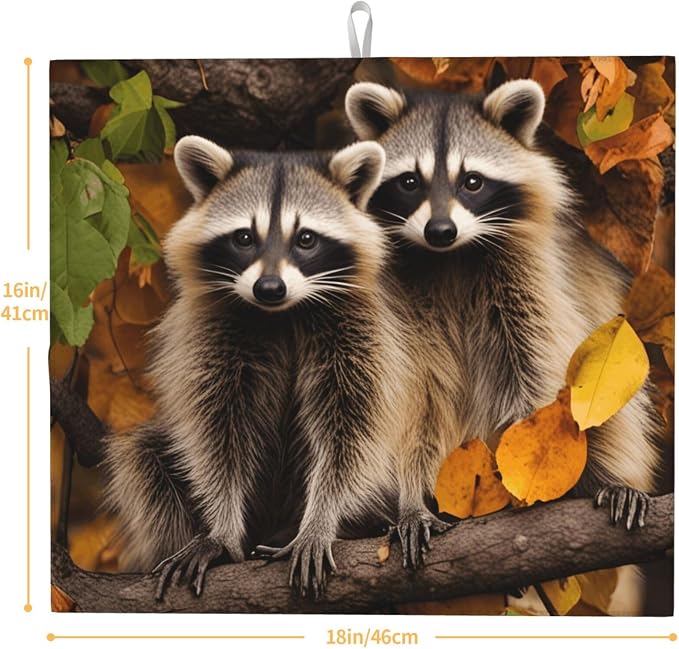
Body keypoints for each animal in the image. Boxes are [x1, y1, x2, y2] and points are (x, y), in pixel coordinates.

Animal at [103, 136, 422, 598]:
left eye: (305, 238)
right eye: (244, 238)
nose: (269, 287)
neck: (281, 313)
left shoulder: (357, 329)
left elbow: (349, 431)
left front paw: (321, 520)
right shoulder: (214, 334)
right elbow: (218, 436)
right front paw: (219, 530)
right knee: (144, 460)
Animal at [345, 79, 663, 550]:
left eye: (472, 181)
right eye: (409, 182)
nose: (440, 231)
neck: (450, 257)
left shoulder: (527, 281)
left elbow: (534, 376)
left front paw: (529, 472)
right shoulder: (402, 310)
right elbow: (415, 402)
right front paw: (411, 500)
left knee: (612, 414)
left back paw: (612, 479)